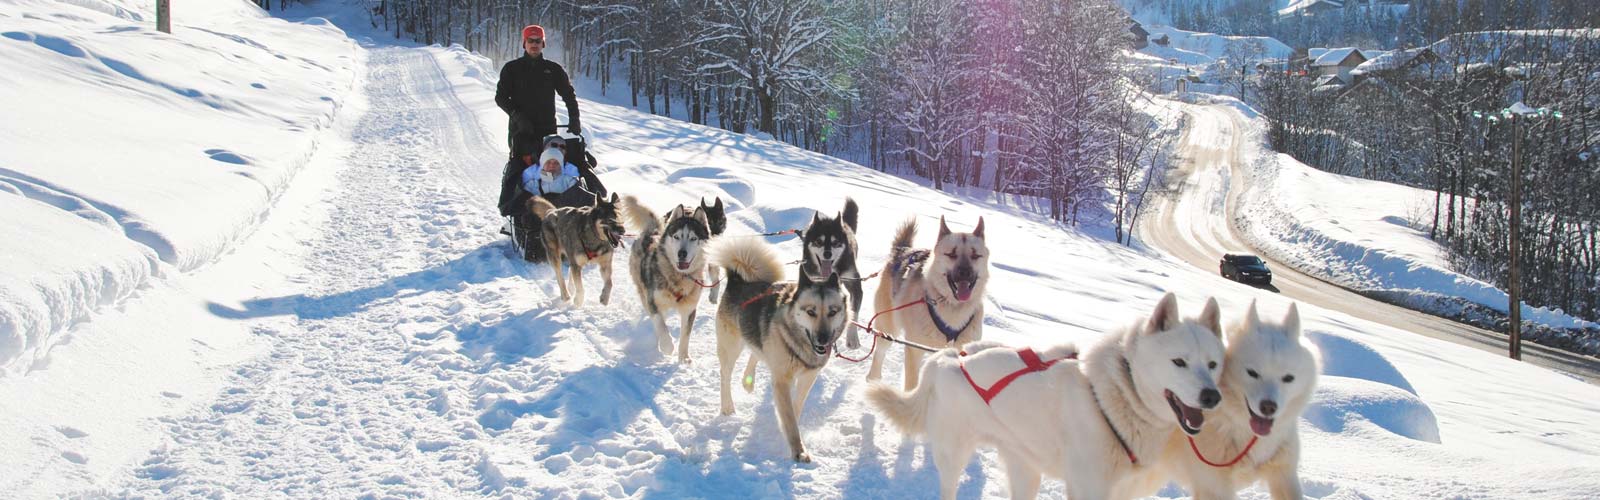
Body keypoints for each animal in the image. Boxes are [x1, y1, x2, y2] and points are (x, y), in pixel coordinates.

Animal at [617, 193, 713, 360]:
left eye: (693, 238)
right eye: (676, 237)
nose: (682, 253)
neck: (678, 278)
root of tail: (653, 231)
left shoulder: (689, 309)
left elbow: (685, 336)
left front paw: (684, 359)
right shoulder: (653, 301)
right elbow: (660, 324)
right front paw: (667, 346)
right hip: (643, 289)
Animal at [710, 235, 851, 461]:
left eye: (833, 311)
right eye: (811, 312)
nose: (823, 339)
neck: (799, 343)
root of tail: (737, 280)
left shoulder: (807, 378)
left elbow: (795, 407)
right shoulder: (782, 380)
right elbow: (790, 418)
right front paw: (798, 450)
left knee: (756, 353)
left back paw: (748, 381)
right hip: (731, 347)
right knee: (725, 375)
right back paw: (727, 407)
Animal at [864, 216, 985, 391]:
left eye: (975, 255)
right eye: (951, 254)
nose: (965, 272)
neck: (952, 307)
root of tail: (903, 250)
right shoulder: (914, 349)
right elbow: (912, 384)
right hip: (888, 330)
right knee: (879, 354)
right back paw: (873, 379)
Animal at [864, 293, 1222, 500]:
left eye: (1213, 364)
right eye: (1179, 362)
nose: (1212, 396)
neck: (1112, 396)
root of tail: (945, 359)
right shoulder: (1088, 487)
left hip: (1025, 467)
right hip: (955, 456)